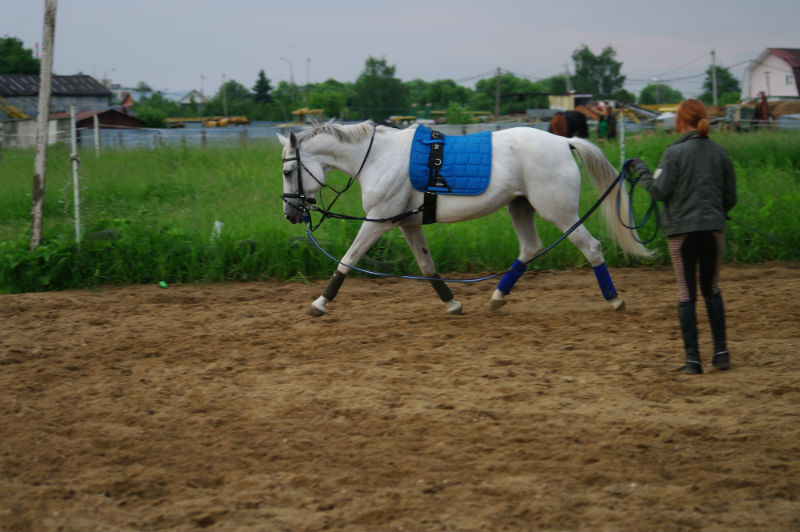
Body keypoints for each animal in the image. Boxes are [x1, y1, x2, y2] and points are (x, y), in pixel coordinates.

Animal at [278, 120, 651, 317]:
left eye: (286, 171)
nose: (291, 214)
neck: (377, 158)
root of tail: (564, 141)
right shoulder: (407, 223)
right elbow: (427, 266)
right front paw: (452, 302)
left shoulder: (379, 220)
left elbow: (348, 258)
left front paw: (320, 303)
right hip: (520, 206)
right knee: (530, 249)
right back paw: (498, 296)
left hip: (559, 212)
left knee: (592, 248)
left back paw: (615, 299)